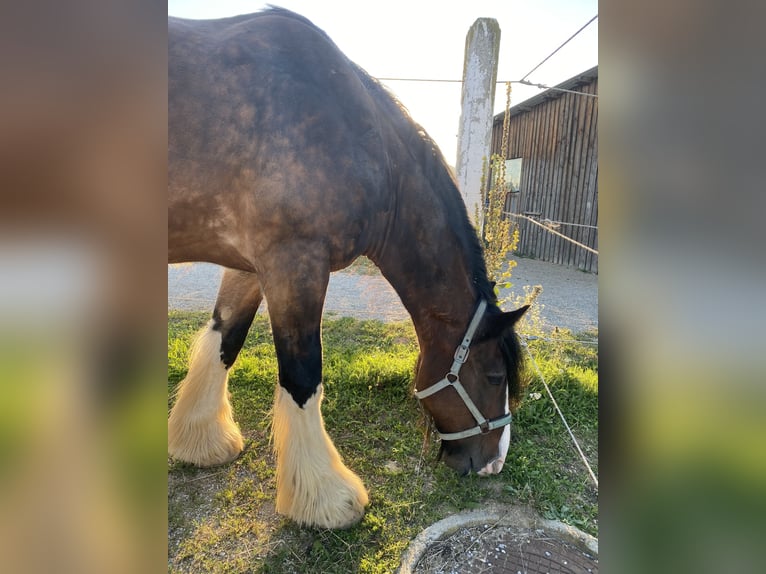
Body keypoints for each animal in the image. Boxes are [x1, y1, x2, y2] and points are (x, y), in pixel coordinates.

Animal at [168, 7, 528, 532]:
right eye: (497, 377)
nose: (494, 462)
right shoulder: (295, 262)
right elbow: (302, 378)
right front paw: (327, 500)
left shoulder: (251, 265)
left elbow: (225, 339)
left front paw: (200, 440)